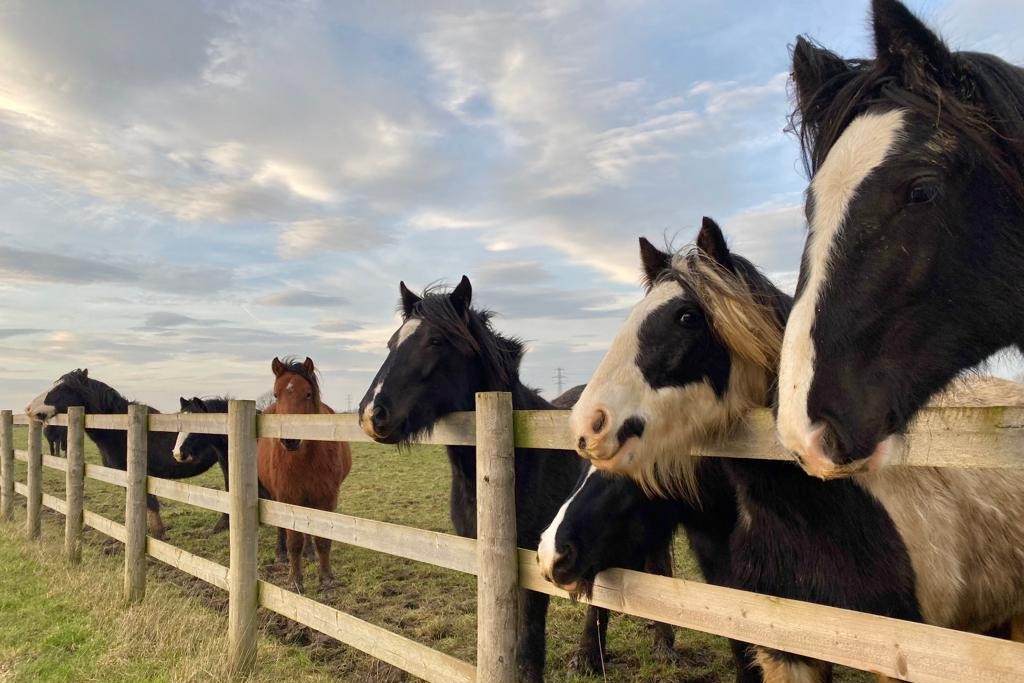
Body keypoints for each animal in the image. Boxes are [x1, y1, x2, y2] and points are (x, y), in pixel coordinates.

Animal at [257, 357, 352, 594]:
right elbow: (294, 541)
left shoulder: (326, 497)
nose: (290, 440)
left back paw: (309, 552)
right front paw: (295, 580)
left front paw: (326, 579)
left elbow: (323, 540)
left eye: (308, 393)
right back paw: (281, 554)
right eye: (276, 394)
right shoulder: (288, 496)